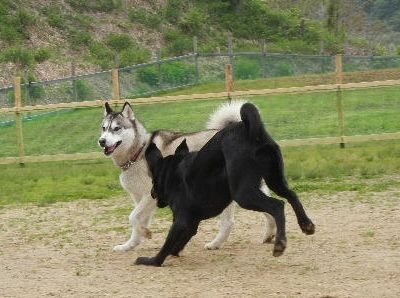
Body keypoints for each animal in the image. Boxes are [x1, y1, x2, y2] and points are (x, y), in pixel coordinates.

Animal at [98, 100, 276, 251]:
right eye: (104, 128)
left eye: (117, 128)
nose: (101, 141)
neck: (139, 152)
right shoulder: (140, 199)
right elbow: (137, 222)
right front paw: (129, 245)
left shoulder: (150, 197)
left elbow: (132, 217)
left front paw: (145, 233)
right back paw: (269, 235)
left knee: (229, 222)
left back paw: (215, 244)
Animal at [138, 103, 316, 266]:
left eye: (153, 180)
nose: (152, 193)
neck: (173, 173)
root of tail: (245, 129)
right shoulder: (191, 223)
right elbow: (179, 242)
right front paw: (175, 252)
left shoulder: (181, 221)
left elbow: (166, 245)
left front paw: (151, 260)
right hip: (274, 179)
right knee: (291, 195)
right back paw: (306, 224)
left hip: (244, 194)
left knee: (277, 205)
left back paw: (280, 243)